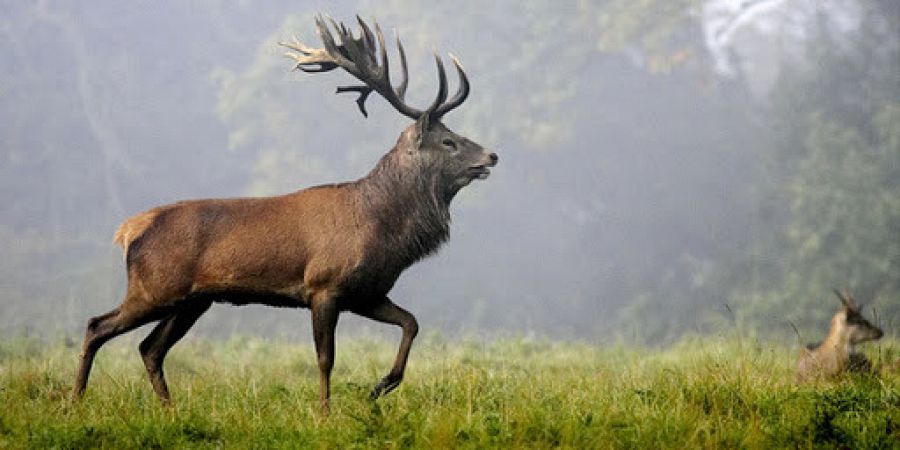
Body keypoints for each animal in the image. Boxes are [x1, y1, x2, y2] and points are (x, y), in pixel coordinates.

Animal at [74, 14, 500, 410]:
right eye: (448, 141)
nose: (491, 155)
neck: (383, 227)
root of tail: (129, 230)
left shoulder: (366, 292)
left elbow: (411, 322)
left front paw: (379, 387)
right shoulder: (323, 285)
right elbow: (326, 358)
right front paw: (325, 412)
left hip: (192, 300)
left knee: (150, 348)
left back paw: (170, 409)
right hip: (154, 288)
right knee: (98, 325)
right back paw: (76, 401)